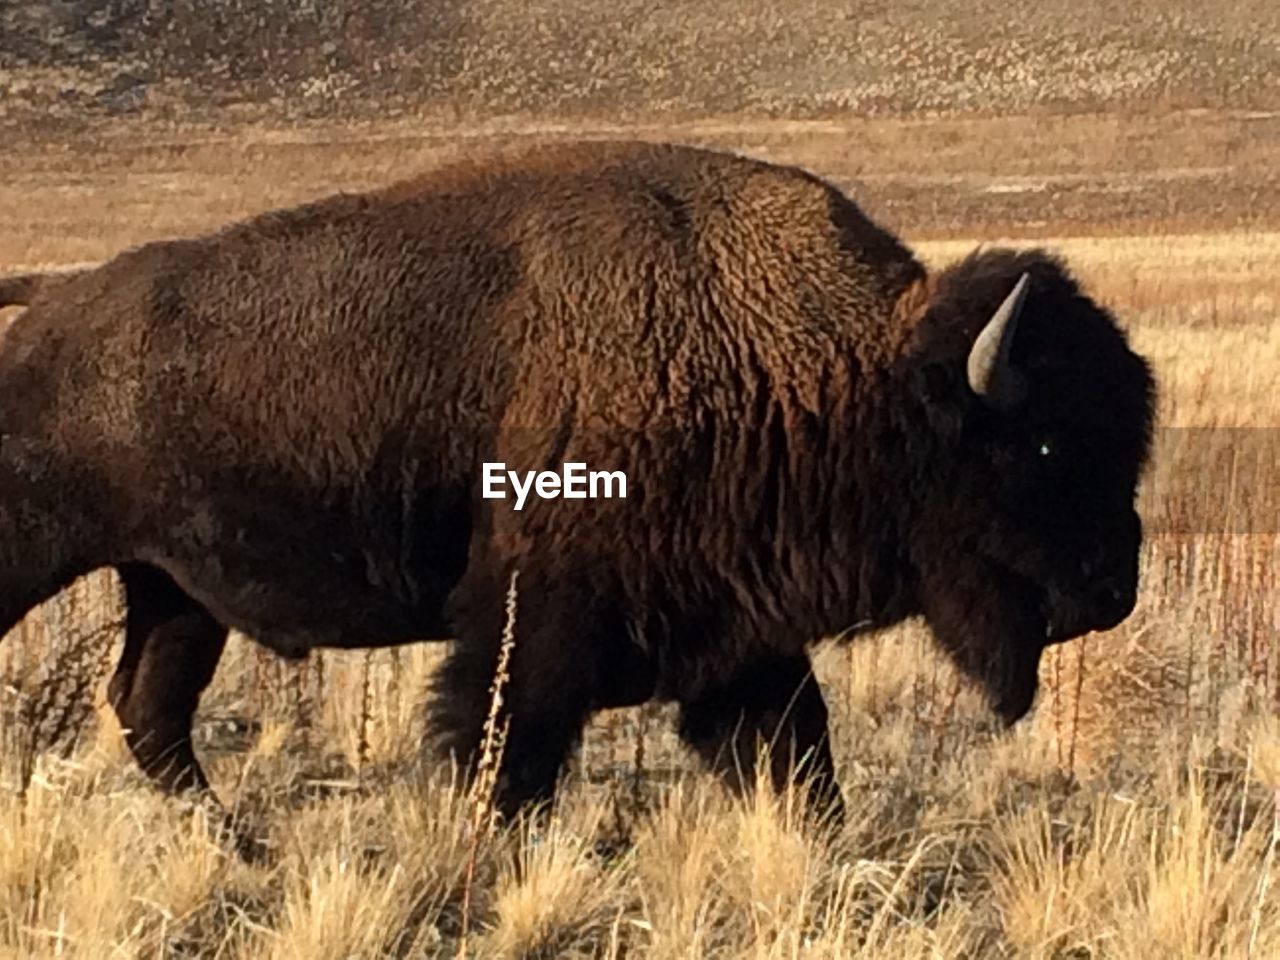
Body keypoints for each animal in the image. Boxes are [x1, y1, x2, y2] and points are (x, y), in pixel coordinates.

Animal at [0, 140, 1162, 819]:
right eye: (1046, 448)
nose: (1113, 591)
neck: (835, 371)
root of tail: (48, 307)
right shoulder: (536, 626)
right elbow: (505, 755)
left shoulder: (740, 635)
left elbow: (797, 754)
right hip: (52, 556)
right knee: (146, 707)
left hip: (172, 590)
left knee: (149, 708)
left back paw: (235, 841)